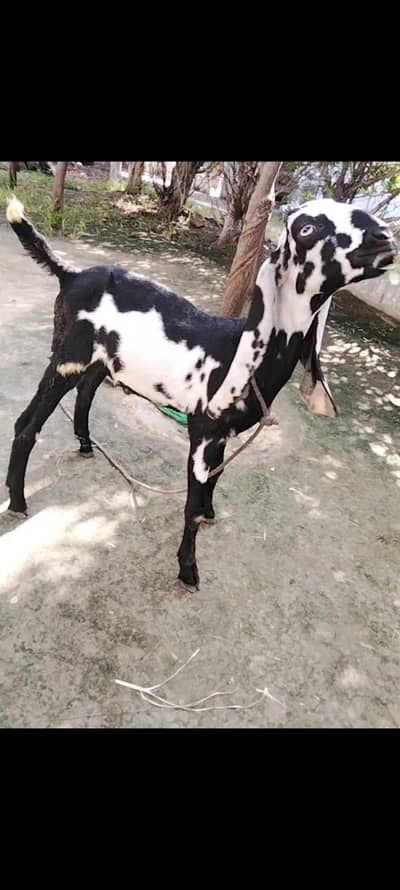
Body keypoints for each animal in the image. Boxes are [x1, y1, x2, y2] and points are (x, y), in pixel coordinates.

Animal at [5, 196, 396, 587]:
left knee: (85, 394)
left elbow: (217, 478)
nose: (385, 238)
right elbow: (191, 504)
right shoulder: (203, 431)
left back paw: (84, 446)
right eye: (306, 228)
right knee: (27, 423)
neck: (242, 351)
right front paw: (188, 568)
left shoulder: (223, 434)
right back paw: (18, 501)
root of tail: (70, 274)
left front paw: (210, 512)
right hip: (67, 358)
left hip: (100, 361)